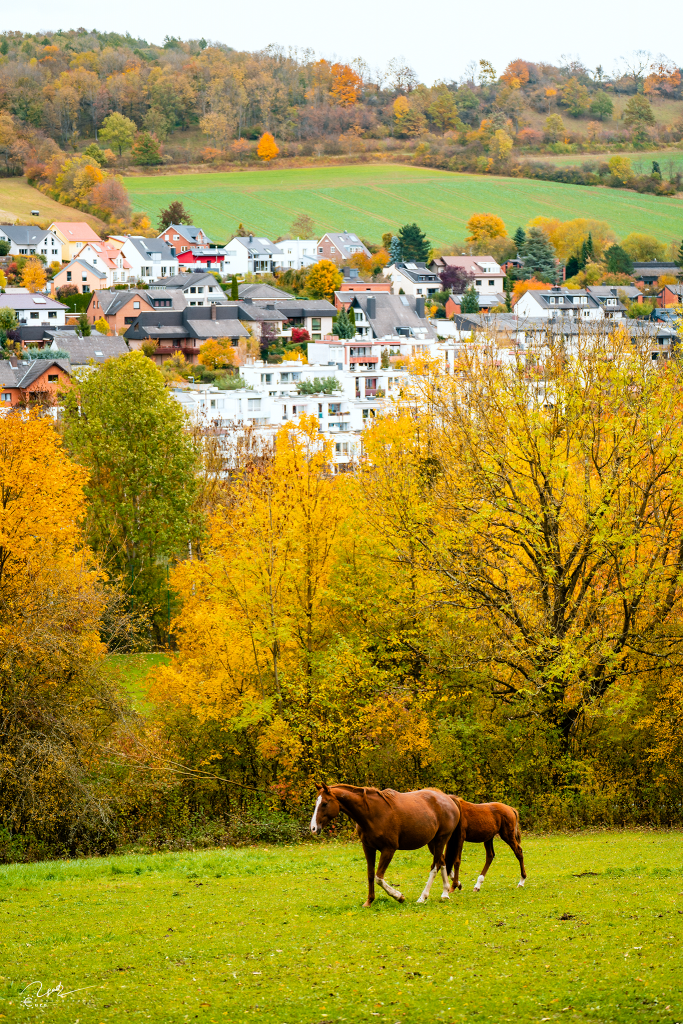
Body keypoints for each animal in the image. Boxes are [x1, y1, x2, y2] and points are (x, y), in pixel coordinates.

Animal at [313, 782, 462, 905]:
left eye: (324, 803)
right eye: (316, 803)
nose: (313, 828)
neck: (371, 813)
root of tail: (448, 798)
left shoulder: (388, 850)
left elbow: (379, 877)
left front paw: (399, 896)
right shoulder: (368, 848)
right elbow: (371, 874)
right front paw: (369, 901)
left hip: (441, 840)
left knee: (435, 866)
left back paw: (423, 897)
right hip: (432, 843)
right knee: (442, 862)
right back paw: (445, 893)